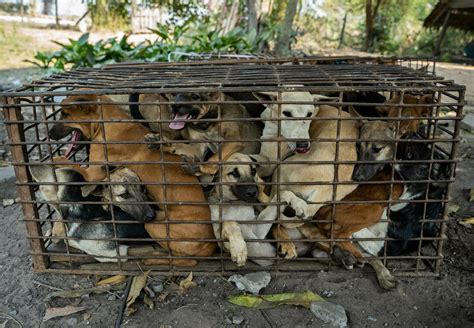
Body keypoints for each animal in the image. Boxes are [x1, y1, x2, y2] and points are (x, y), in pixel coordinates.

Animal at [48, 93, 217, 266]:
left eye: (64, 114)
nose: (49, 135)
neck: (106, 124)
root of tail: (210, 246)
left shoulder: (93, 173)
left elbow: (68, 162)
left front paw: (54, 158)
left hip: (153, 226)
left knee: (186, 261)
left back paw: (152, 258)